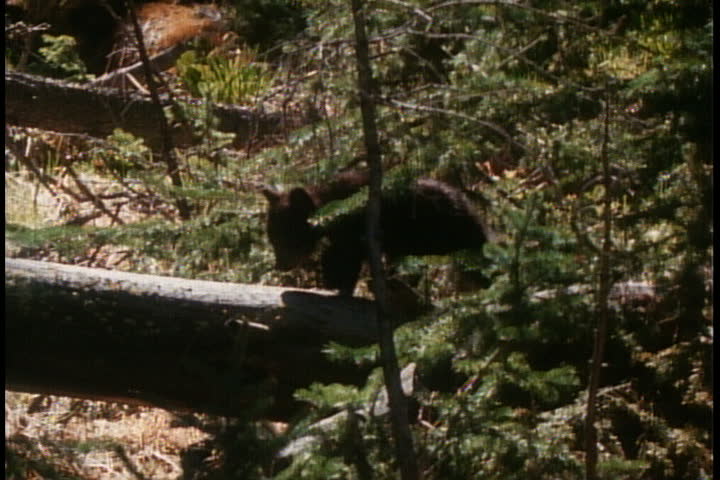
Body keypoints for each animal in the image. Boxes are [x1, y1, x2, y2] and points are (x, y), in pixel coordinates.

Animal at [261, 171, 489, 296]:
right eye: (272, 237)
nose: (280, 265)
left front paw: (335, 282)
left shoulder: (357, 228)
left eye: (286, 237)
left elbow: (345, 256)